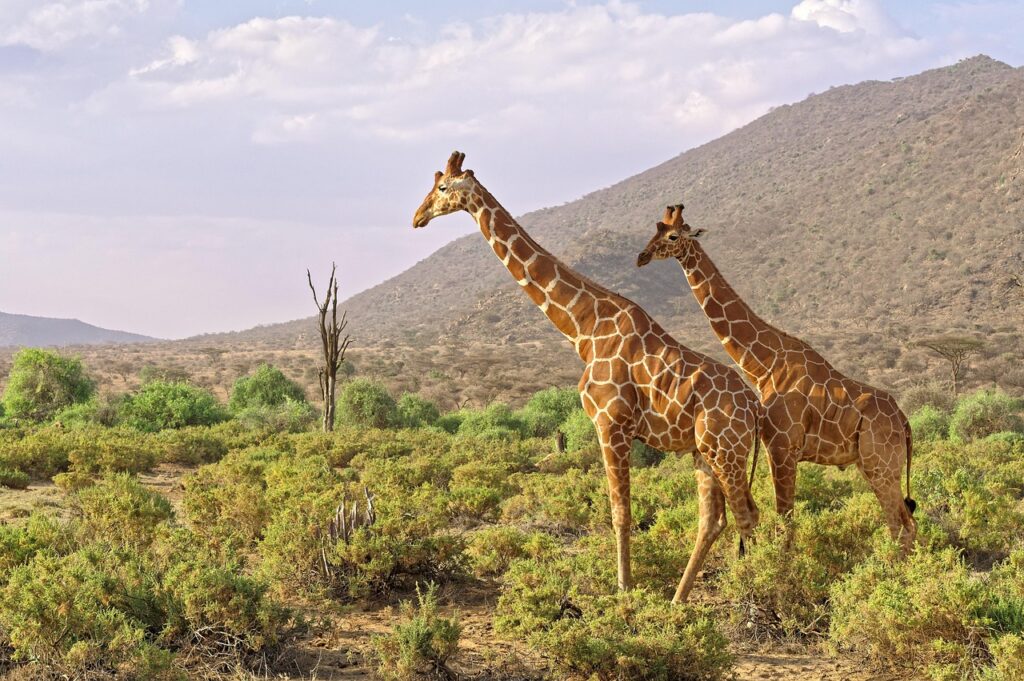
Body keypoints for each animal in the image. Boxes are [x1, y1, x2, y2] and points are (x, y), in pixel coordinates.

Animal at [413, 152, 761, 603]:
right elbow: (622, 512)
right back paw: (678, 600)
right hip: (704, 451)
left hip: (726, 451)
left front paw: (624, 591)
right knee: (715, 519)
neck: (584, 329)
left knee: (747, 514)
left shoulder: (610, 424)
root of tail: (756, 407)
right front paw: (629, 589)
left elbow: (620, 514)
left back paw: (758, 593)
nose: (417, 217)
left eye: (442, 187)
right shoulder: (616, 428)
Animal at [637, 205, 917, 554]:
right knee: (905, 522)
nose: (642, 257)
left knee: (901, 525)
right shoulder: (779, 447)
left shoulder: (781, 446)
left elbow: (785, 521)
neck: (765, 364)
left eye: (673, 236)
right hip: (871, 464)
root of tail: (905, 421)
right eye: (655, 229)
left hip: (881, 463)